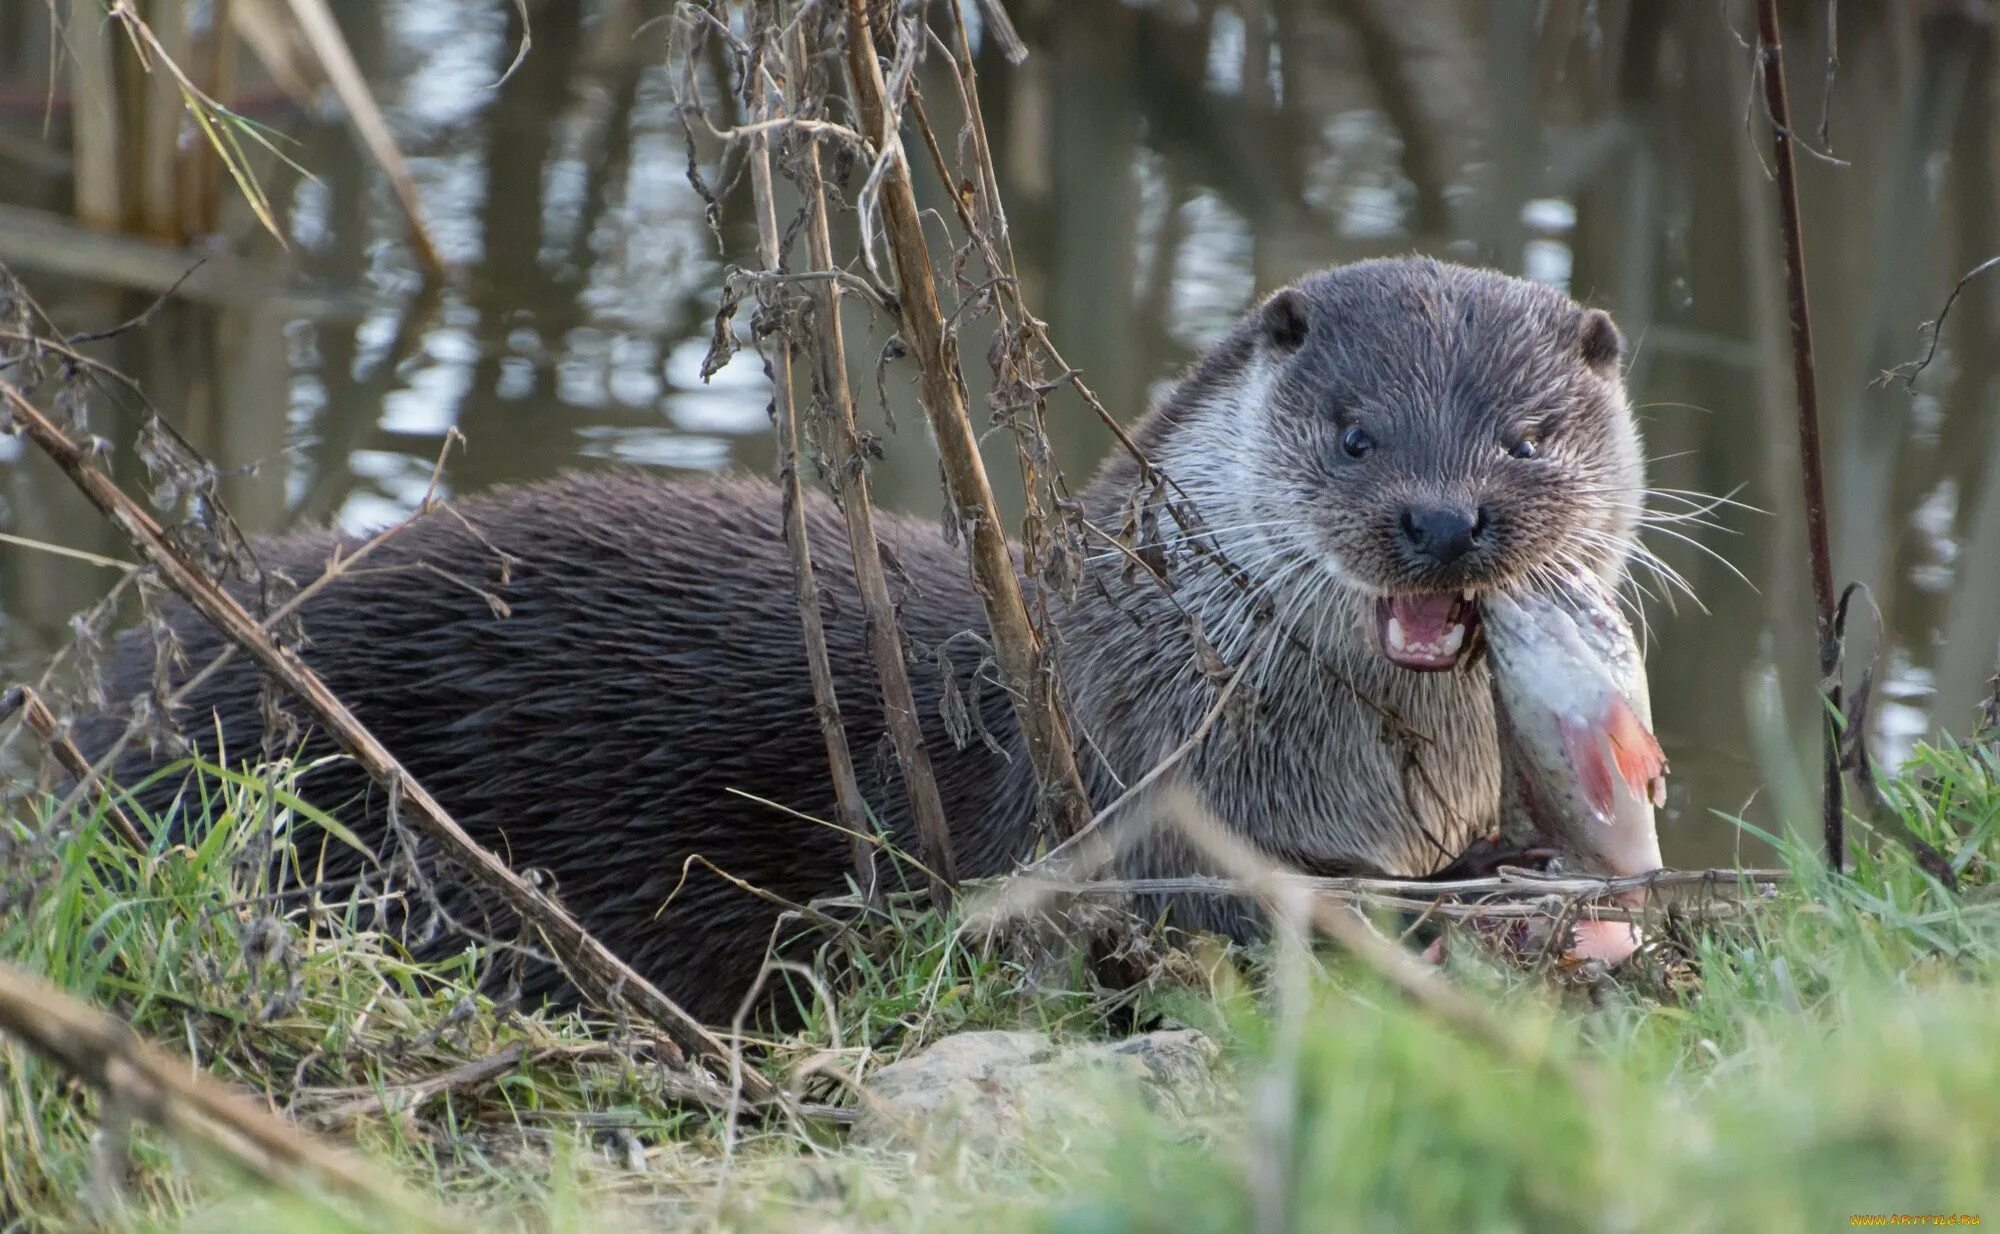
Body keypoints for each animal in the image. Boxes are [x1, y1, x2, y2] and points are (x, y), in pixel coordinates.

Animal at [74, 258, 1640, 1020]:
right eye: (1355, 432)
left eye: (1524, 435)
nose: (1441, 519)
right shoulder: (1124, 796)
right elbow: (1248, 902)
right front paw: (1484, 881)